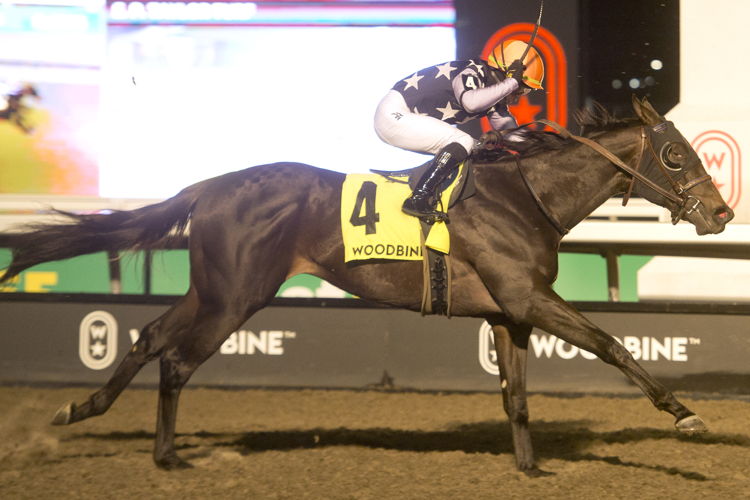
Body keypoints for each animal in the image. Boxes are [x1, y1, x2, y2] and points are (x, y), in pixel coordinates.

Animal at [0, 95, 736, 474]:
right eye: (675, 154)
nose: (723, 213)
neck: (526, 194)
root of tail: (209, 185)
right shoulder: (530, 299)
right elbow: (613, 345)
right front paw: (686, 415)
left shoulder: (510, 313)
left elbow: (518, 398)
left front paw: (529, 467)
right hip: (237, 295)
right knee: (177, 358)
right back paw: (166, 457)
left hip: (212, 288)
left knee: (151, 334)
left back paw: (81, 410)